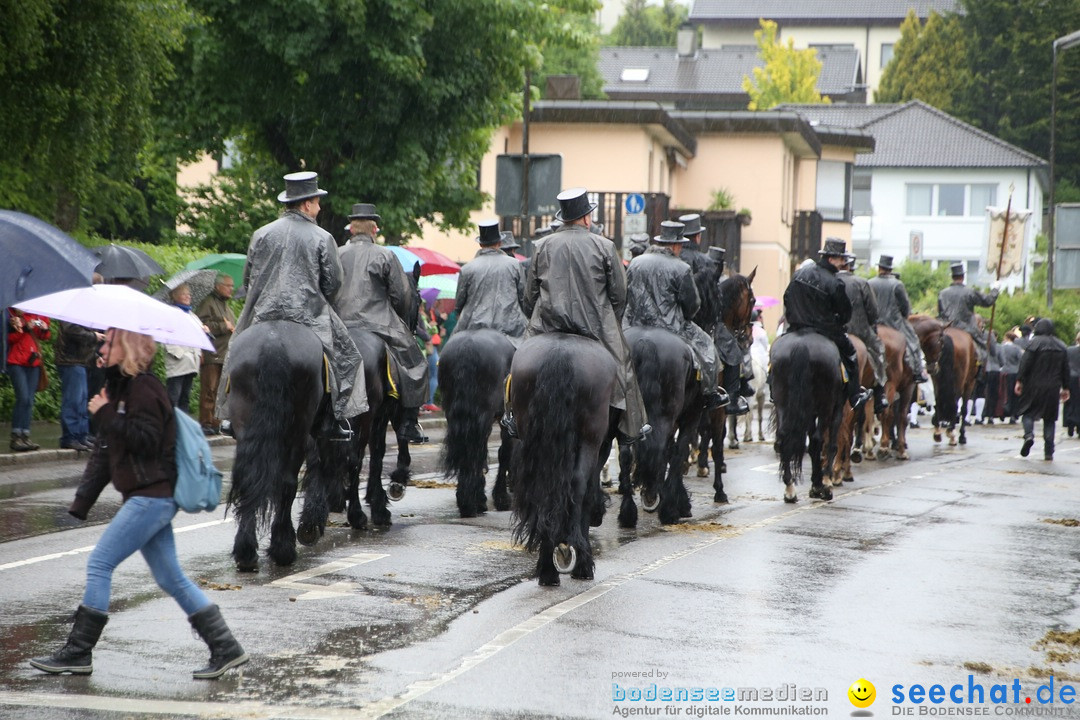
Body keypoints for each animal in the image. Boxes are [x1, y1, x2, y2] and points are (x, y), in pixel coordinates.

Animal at [224, 321, 332, 569]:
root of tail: (273, 342)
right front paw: (310, 524)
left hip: (247, 428)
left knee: (250, 480)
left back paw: (246, 552)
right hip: (297, 431)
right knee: (287, 484)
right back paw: (283, 548)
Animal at [436, 330, 516, 520]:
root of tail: (467, 347)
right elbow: (504, 454)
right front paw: (501, 498)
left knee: (471, 452)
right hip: (482, 417)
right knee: (476, 452)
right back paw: (471, 504)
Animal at [507, 334, 617, 587]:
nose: (599, 519)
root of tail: (560, 353)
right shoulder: (601, 446)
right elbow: (588, 491)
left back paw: (548, 566)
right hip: (590, 439)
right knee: (578, 485)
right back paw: (572, 554)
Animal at [617, 323, 699, 526]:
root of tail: (645, 341)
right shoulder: (692, 416)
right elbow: (678, 454)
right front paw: (679, 503)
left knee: (626, 455)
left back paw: (628, 512)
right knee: (660, 450)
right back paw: (664, 508)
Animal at [768, 330, 842, 505]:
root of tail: (801, 345)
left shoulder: (809, 414)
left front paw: (816, 484)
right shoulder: (837, 408)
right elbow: (831, 445)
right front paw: (824, 483)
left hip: (782, 402)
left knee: (783, 439)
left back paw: (790, 490)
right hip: (826, 406)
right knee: (818, 440)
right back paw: (823, 486)